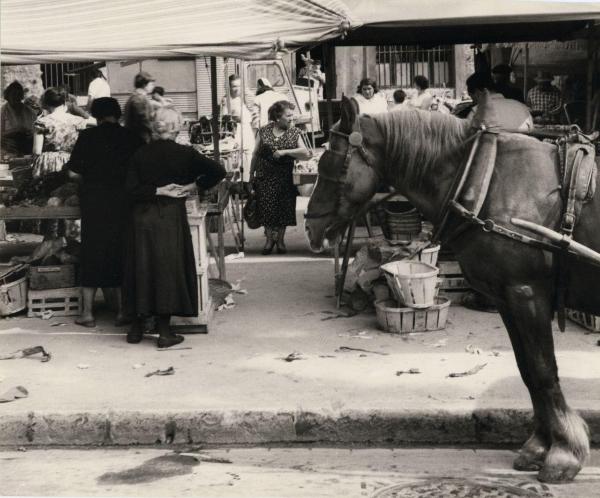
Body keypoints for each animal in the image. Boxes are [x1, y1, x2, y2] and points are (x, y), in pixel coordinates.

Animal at [308, 96, 596, 482]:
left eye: (332, 165)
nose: (311, 226)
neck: (484, 177)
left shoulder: (526, 294)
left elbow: (543, 371)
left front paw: (564, 451)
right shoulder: (508, 299)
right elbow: (527, 371)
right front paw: (539, 445)